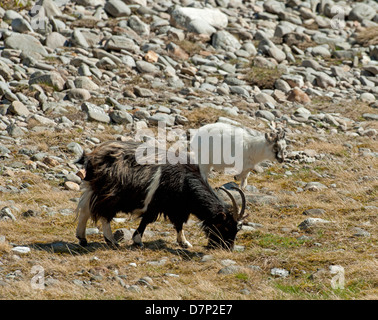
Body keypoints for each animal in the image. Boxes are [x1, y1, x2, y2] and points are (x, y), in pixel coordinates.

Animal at [75, 141, 248, 250]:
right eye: (225, 226)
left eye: (237, 229)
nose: (228, 248)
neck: (185, 181)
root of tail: (92, 158)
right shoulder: (157, 204)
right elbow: (147, 220)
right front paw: (138, 240)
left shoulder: (178, 208)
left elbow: (178, 225)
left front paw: (184, 243)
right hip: (110, 194)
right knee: (103, 214)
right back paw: (111, 240)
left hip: (94, 188)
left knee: (85, 209)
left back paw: (82, 238)